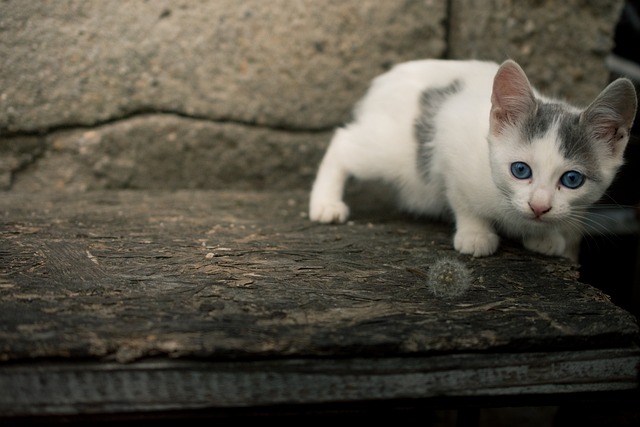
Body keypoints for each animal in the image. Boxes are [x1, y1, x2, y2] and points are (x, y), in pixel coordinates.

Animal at [308, 59, 636, 260]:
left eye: (572, 179)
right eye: (520, 170)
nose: (539, 207)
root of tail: (385, 79)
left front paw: (545, 235)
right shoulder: (449, 145)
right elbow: (462, 200)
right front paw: (475, 233)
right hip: (393, 150)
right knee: (344, 142)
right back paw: (325, 204)